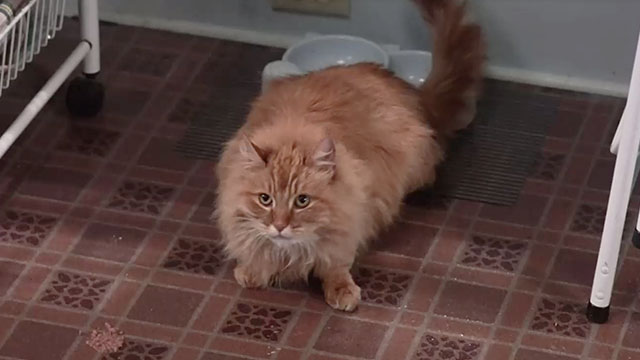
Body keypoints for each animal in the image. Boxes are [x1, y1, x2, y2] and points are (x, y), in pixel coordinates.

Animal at [215, 0, 484, 310]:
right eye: (265, 199)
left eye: (302, 201)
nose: (280, 226)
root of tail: (409, 90)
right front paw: (252, 271)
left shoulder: (358, 213)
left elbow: (337, 263)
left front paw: (342, 290)